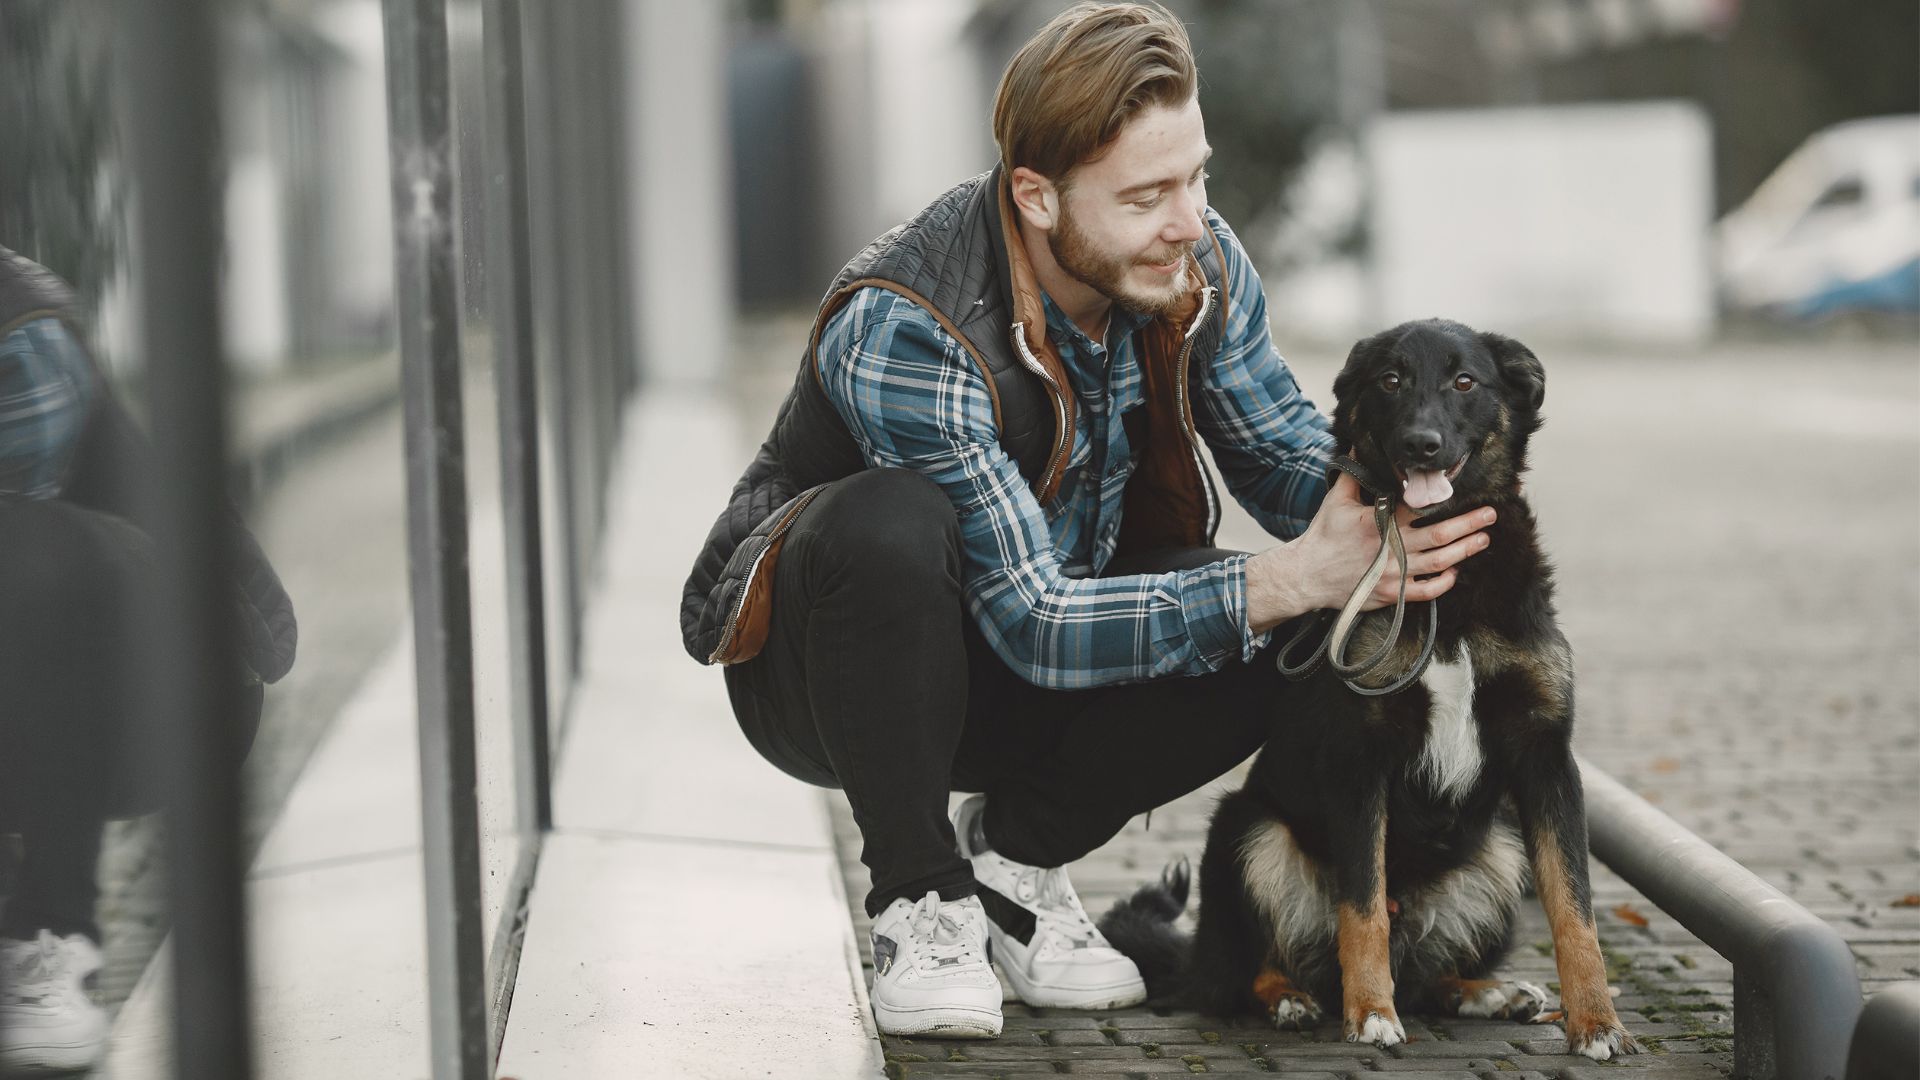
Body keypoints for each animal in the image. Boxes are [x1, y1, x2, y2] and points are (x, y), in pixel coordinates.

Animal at [1098, 315, 1635, 1053]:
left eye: (1465, 381)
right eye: (1390, 380)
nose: (1422, 444)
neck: (1446, 587)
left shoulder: (1546, 755)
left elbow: (1574, 907)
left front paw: (1596, 1021)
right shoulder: (1360, 758)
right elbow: (1363, 907)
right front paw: (1371, 1013)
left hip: (1502, 844)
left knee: (1428, 976)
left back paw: (1487, 991)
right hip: (1248, 831)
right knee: (1244, 973)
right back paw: (1292, 999)